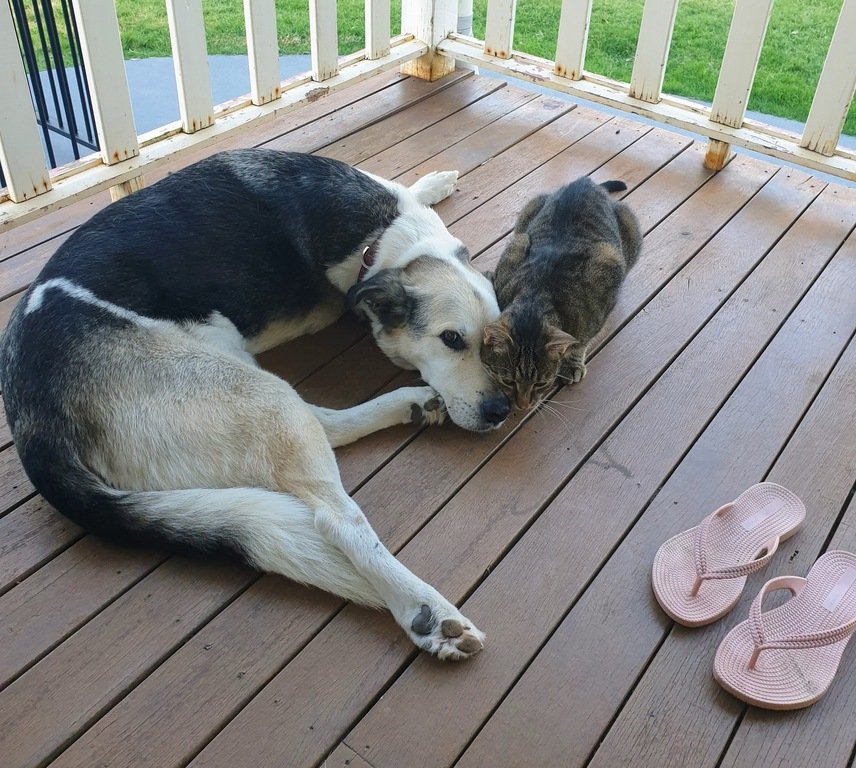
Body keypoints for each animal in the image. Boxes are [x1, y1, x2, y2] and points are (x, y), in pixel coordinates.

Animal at [0, 150, 512, 660]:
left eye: (493, 340)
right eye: (451, 339)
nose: (500, 411)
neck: (381, 235)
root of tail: (34, 422)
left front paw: (434, 183)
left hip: (244, 378)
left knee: (324, 424)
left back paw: (412, 404)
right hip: (253, 392)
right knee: (337, 520)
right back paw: (426, 609)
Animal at [482, 177, 640, 412]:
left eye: (541, 383)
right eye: (508, 381)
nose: (523, 406)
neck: (535, 298)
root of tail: (586, 181)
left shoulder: (603, 291)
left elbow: (581, 342)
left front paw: (572, 362)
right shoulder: (513, 253)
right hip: (523, 226)